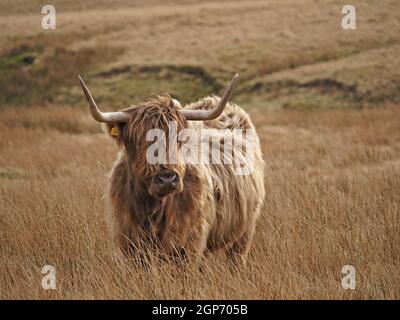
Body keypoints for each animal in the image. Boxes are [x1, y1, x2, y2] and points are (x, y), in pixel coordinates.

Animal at [78, 74, 266, 266]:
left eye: (178, 139)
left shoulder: (187, 245)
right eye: (139, 140)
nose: (167, 179)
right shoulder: (131, 245)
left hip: (245, 230)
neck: (152, 207)